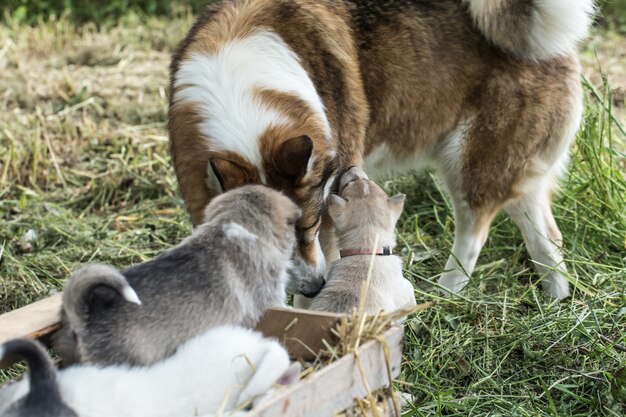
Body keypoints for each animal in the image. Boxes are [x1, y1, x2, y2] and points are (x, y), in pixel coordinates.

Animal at [168, 0, 592, 300]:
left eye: (310, 226)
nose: (314, 287)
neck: (237, 88)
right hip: (515, 172)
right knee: (546, 238)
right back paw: (557, 303)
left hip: (470, 166)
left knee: (473, 237)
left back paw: (444, 294)